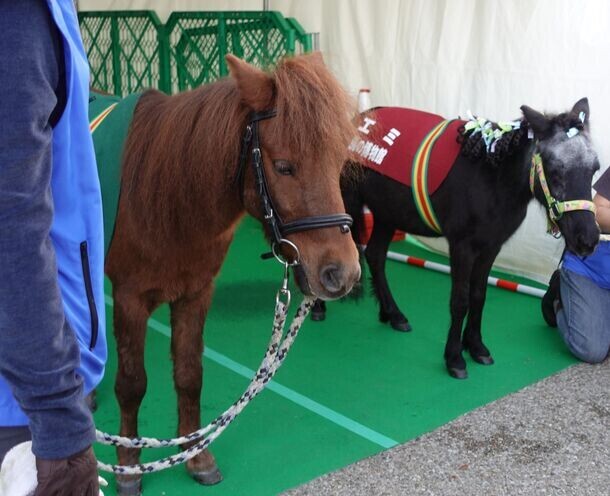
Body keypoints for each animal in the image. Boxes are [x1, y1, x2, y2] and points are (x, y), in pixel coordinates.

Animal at [105, 52, 360, 494]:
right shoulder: (129, 299)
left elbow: (190, 374)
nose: (341, 272)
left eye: (337, 160)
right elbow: (132, 383)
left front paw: (196, 457)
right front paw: (129, 466)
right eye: (284, 166)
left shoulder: (195, 293)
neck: (163, 198)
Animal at [314, 99, 600, 378]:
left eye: (594, 169)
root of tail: (358, 120)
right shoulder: (462, 246)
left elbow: (479, 295)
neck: (493, 178)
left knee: (375, 255)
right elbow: (460, 300)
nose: (587, 239)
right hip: (345, 202)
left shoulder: (491, 246)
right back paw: (319, 308)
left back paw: (392, 314)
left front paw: (475, 346)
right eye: (554, 170)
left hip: (387, 213)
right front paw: (454, 358)